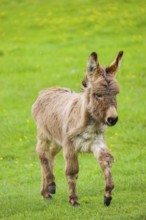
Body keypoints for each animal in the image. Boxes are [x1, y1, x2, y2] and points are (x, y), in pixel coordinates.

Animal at [32, 50, 123, 207]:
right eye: (98, 95)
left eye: (115, 94)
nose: (112, 119)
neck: (88, 122)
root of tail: (45, 91)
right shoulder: (70, 145)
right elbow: (72, 171)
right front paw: (73, 200)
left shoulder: (96, 142)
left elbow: (106, 161)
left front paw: (107, 195)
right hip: (44, 134)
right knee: (42, 153)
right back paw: (51, 184)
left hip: (57, 141)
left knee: (50, 156)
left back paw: (46, 192)